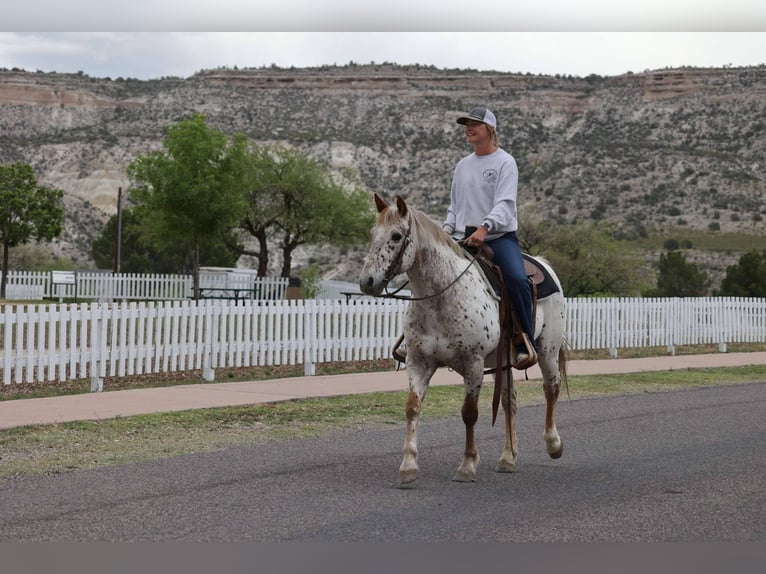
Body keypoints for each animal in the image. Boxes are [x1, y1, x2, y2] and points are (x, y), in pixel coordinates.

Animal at [359, 193, 568, 484]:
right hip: (504, 362)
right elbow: (412, 407)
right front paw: (408, 465)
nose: (367, 281)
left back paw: (553, 444)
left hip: (548, 351)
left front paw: (467, 464)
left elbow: (469, 413)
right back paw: (507, 458)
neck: (440, 297)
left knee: (551, 389)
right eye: (372, 233)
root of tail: (543, 264)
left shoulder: (473, 363)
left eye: (396, 236)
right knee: (509, 402)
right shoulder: (418, 361)